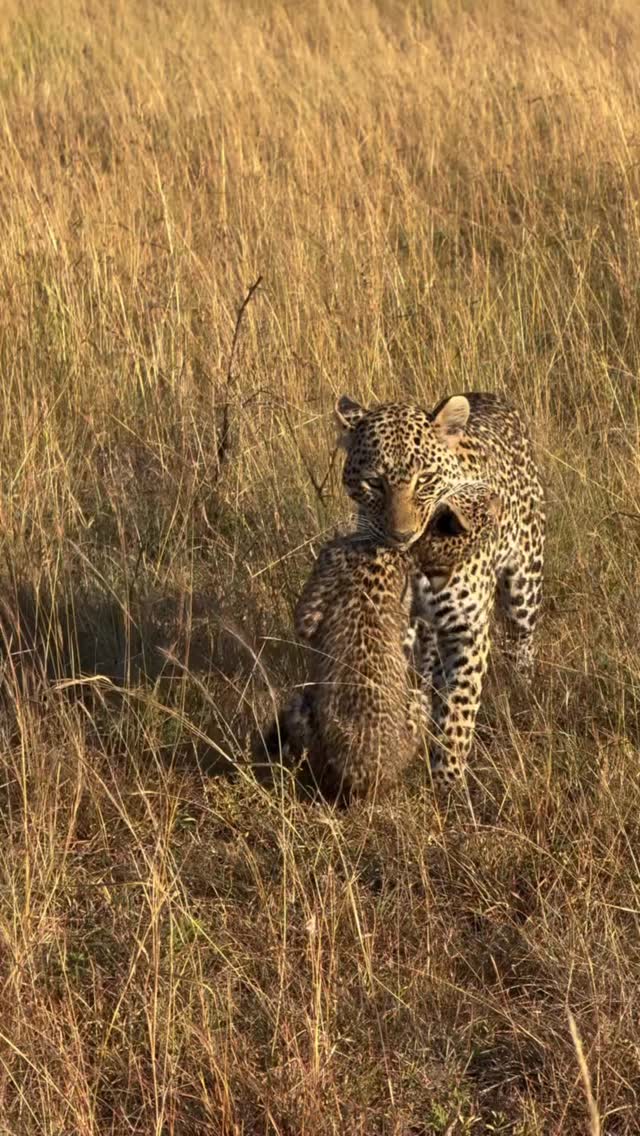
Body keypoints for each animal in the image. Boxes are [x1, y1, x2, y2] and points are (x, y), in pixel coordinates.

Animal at [335, 390, 545, 782]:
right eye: (374, 483)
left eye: (424, 480)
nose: (402, 535)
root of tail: (487, 395)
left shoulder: (466, 624)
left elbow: (459, 707)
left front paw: (448, 778)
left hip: (525, 582)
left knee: (522, 640)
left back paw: (523, 688)